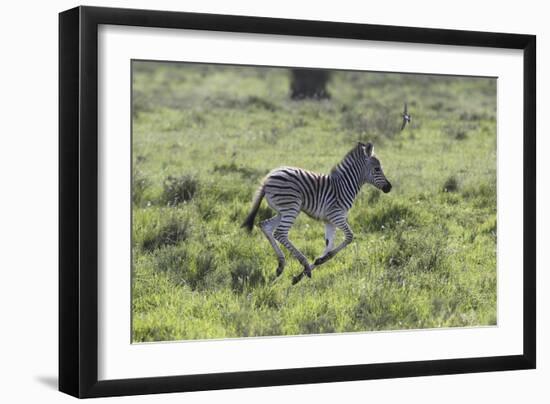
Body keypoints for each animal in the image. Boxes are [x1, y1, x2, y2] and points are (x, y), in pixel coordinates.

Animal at [243, 142, 392, 284]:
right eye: (377, 169)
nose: (389, 187)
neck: (344, 186)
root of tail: (268, 178)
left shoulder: (329, 221)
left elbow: (329, 247)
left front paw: (309, 269)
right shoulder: (336, 215)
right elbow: (349, 237)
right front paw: (310, 266)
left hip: (283, 211)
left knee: (265, 226)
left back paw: (281, 265)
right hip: (291, 207)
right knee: (280, 233)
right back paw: (303, 263)